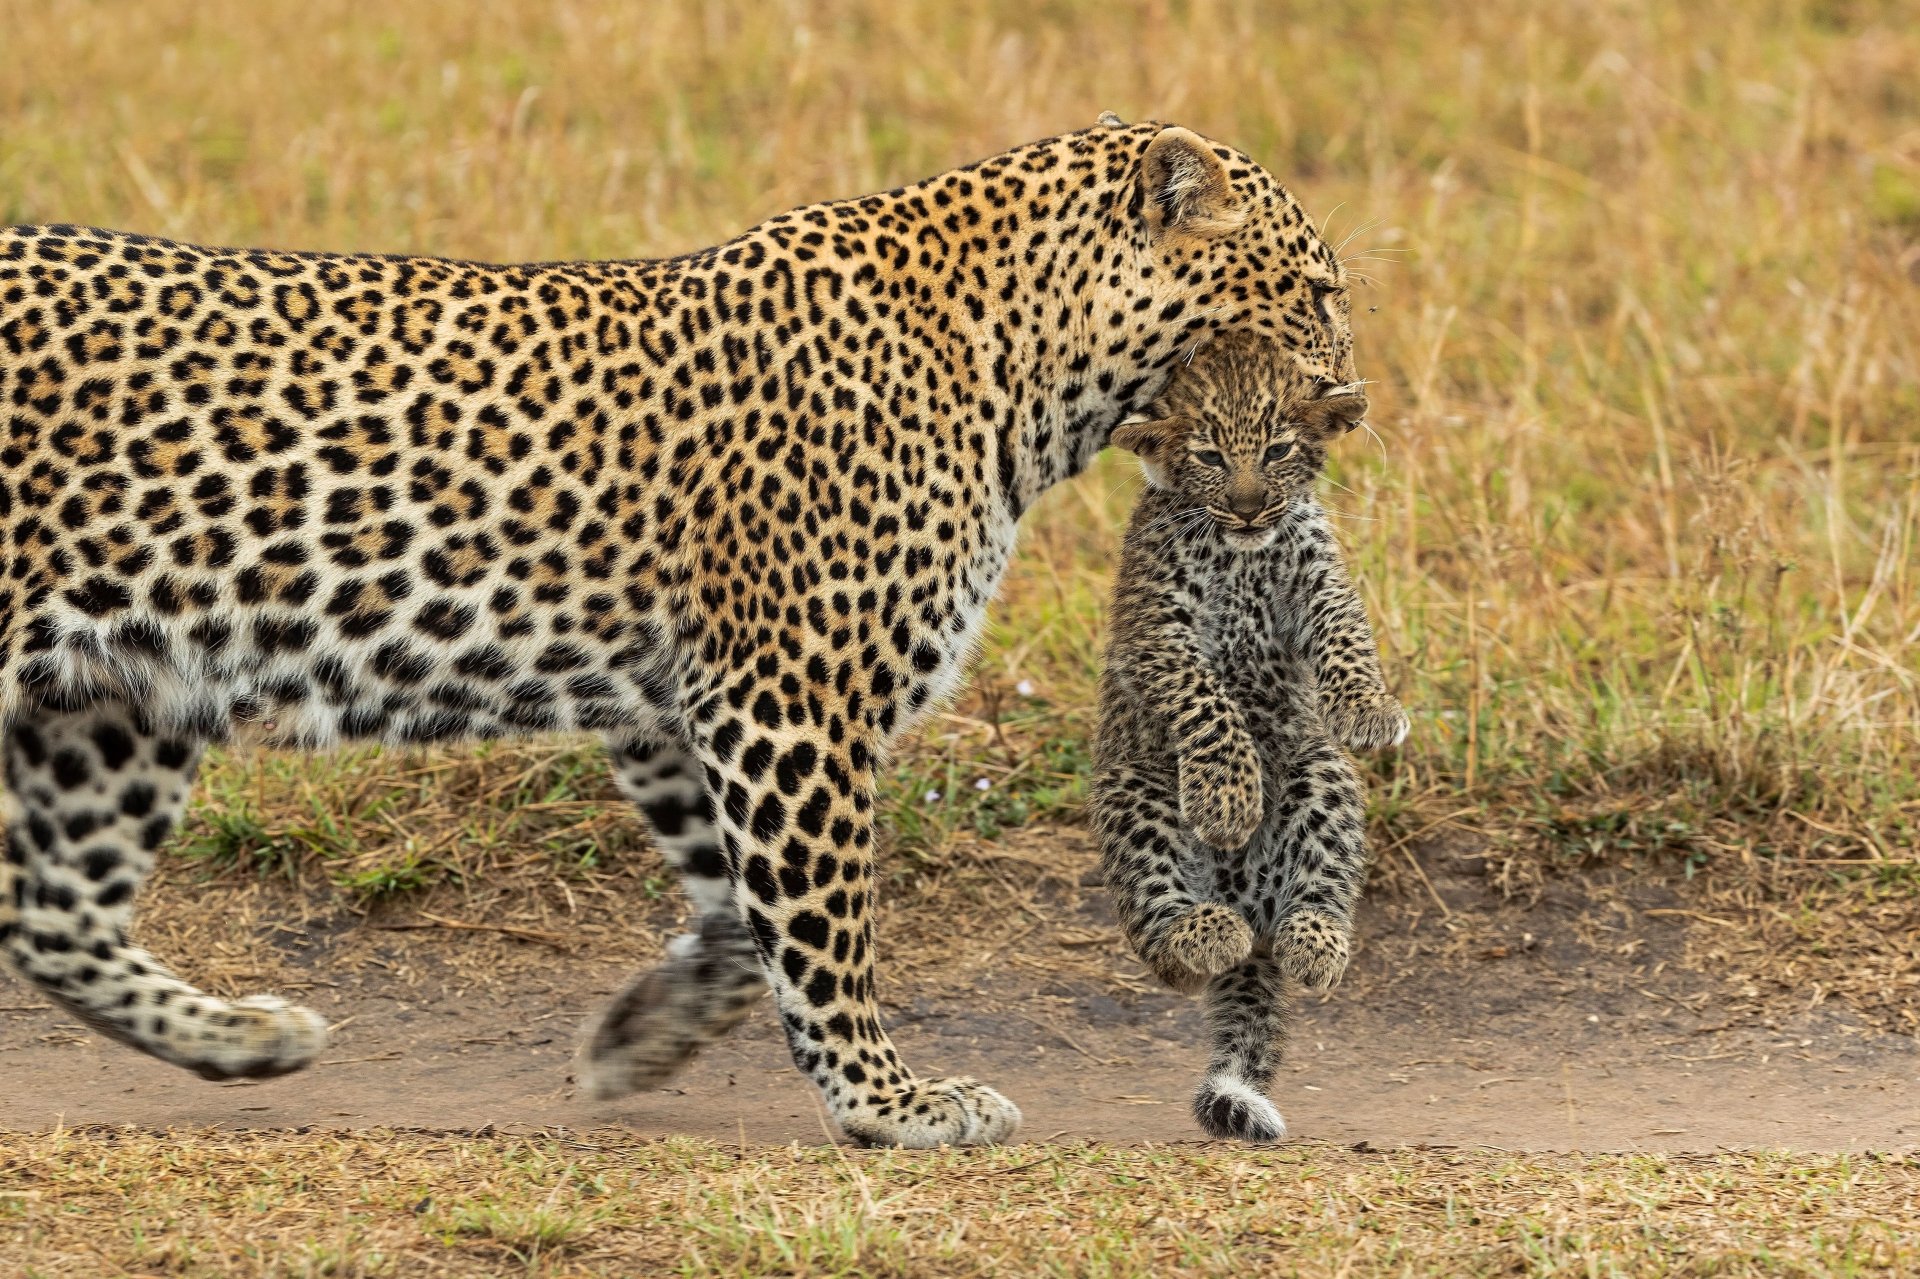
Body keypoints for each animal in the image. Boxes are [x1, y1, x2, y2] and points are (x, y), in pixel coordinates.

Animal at [0, 115, 1355, 1148]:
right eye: (1317, 293)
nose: (1355, 392)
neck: (1034, 380)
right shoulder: (789, 698)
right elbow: (828, 926)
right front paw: (891, 1103)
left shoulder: (682, 709)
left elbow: (743, 919)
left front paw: (631, 1044)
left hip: (117, 699)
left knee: (50, 912)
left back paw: (245, 1038)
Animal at [1088, 330, 1406, 1143]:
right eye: (1208, 456)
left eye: (1279, 449)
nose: (1249, 504)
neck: (1241, 553)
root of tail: (1249, 911)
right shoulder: (1157, 631)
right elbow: (1207, 699)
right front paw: (1229, 799)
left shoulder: (1320, 584)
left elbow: (1347, 640)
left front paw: (1368, 708)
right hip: (1136, 792)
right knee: (1164, 939)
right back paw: (1206, 930)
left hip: (1321, 774)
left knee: (1322, 887)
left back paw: (1313, 943)